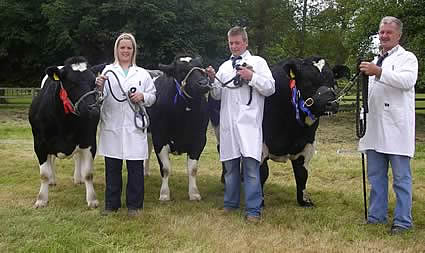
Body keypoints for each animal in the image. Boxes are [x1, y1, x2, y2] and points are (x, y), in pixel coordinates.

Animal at [28, 56, 100, 209]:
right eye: (72, 83)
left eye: (94, 82)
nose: (93, 109)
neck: (65, 121)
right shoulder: (39, 143)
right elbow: (44, 174)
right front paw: (41, 199)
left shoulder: (89, 141)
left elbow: (88, 173)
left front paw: (92, 199)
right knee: (52, 160)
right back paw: (52, 180)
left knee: (77, 157)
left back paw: (78, 178)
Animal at [147, 55, 210, 202]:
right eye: (181, 71)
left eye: (202, 69)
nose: (204, 83)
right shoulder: (159, 139)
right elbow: (165, 169)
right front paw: (164, 194)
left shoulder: (200, 139)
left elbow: (193, 169)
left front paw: (194, 193)